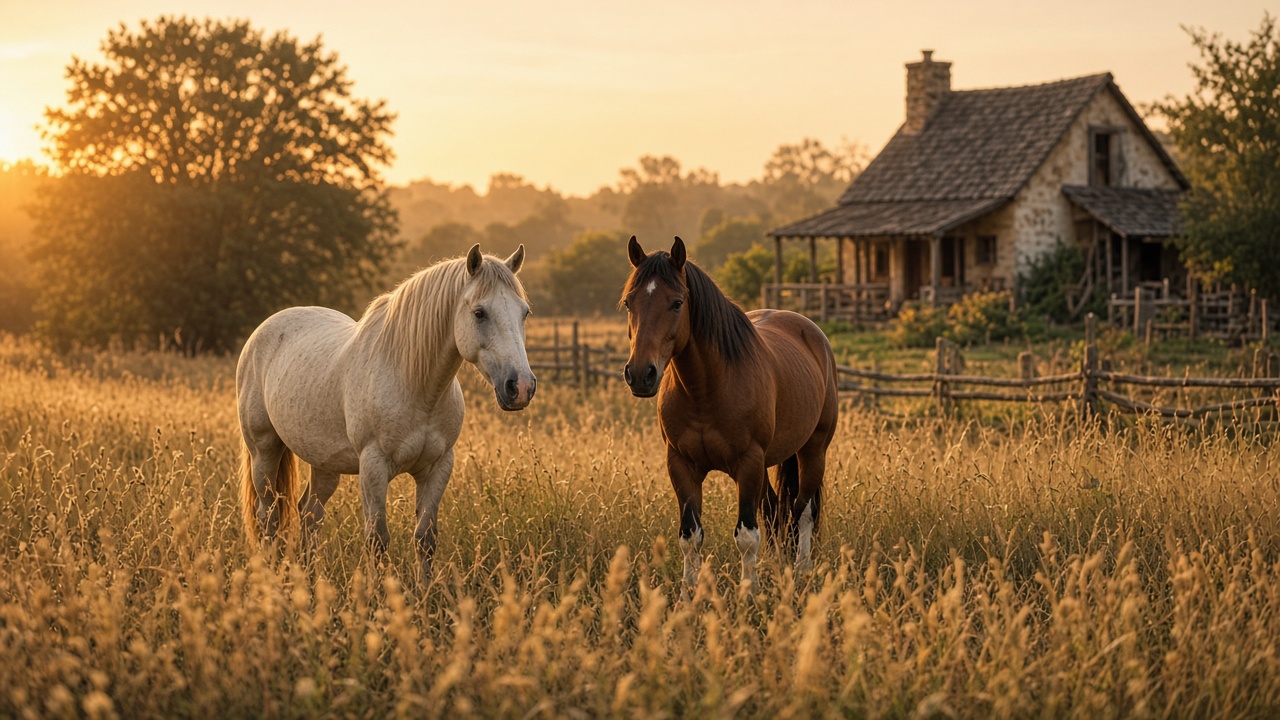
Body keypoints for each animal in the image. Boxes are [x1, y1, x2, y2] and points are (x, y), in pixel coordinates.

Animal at [236, 244, 535, 580]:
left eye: (524, 312)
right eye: (479, 313)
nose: (521, 387)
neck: (415, 384)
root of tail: (263, 331)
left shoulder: (438, 466)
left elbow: (425, 539)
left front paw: (424, 590)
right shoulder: (373, 466)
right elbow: (376, 539)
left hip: (324, 462)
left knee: (309, 514)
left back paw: (310, 577)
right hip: (263, 450)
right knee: (268, 516)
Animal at [620, 236, 838, 593]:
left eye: (677, 303)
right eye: (629, 303)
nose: (640, 374)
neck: (706, 390)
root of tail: (811, 332)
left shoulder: (748, 462)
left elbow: (747, 536)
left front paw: (748, 593)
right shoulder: (681, 464)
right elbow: (690, 537)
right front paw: (688, 595)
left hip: (813, 450)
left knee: (803, 511)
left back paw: (803, 571)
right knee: (775, 510)